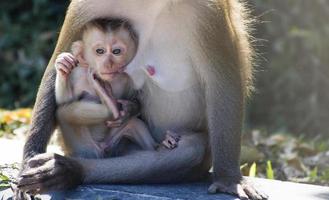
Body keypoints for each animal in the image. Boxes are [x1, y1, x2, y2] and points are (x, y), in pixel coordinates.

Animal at [54, 18, 178, 158]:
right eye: (100, 51)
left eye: (116, 51)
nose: (108, 64)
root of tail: (102, 151)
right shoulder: (79, 74)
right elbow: (64, 102)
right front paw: (63, 66)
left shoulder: (132, 76)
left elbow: (136, 99)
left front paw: (129, 109)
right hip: (83, 148)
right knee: (64, 113)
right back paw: (110, 105)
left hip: (111, 143)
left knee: (133, 124)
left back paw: (160, 145)